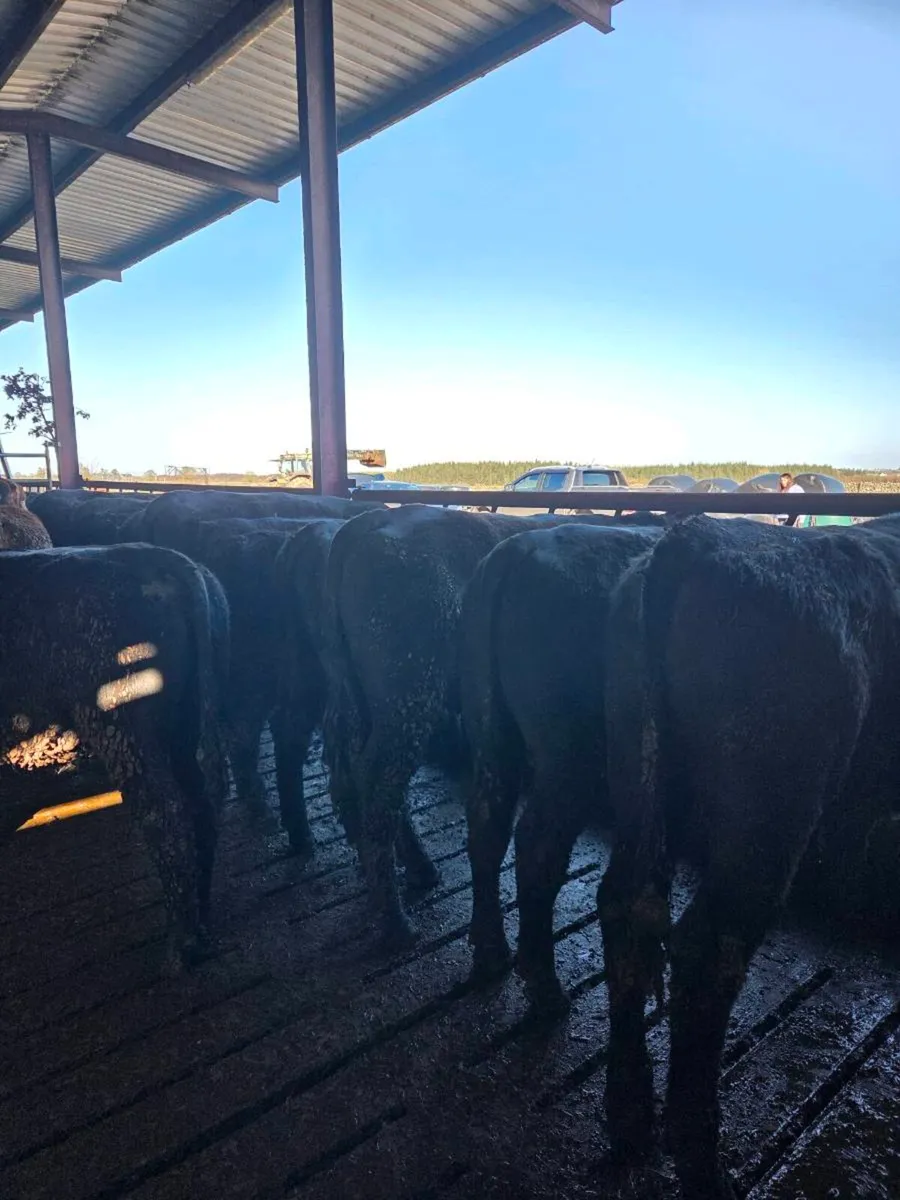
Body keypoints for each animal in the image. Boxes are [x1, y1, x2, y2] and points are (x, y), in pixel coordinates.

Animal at [0, 544, 230, 973]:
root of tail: (169, 561)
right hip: (185, 723)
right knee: (203, 798)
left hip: (125, 728)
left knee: (165, 810)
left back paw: (181, 947)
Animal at [460, 523, 662, 1015]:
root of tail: (514, 551)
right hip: (570, 758)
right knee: (537, 843)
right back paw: (545, 989)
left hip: (489, 728)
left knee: (487, 823)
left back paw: (491, 952)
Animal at [597, 516, 900, 1200]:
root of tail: (694, 537)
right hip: (768, 817)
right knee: (708, 954)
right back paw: (705, 1167)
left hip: (636, 777)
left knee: (626, 911)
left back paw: (630, 1122)